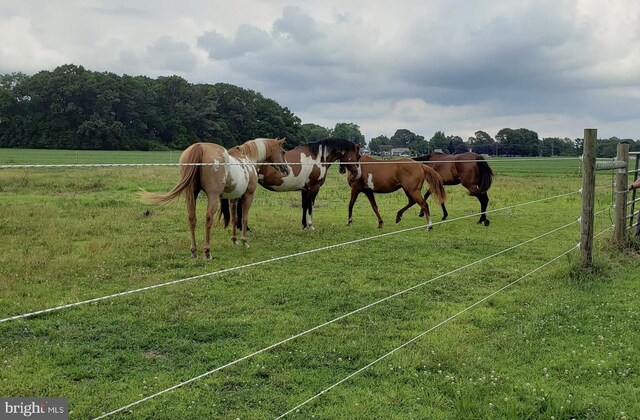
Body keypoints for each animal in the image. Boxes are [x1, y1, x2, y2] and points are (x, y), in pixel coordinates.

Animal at [144, 137, 288, 260]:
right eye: (283, 151)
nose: (286, 169)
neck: (248, 159)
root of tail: (199, 146)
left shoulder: (234, 198)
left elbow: (235, 219)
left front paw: (234, 240)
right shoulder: (248, 195)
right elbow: (244, 219)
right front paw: (244, 242)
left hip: (191, 194)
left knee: (192, 218)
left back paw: (194, 251)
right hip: (212, 197)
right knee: (208, 219)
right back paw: (207, 252)